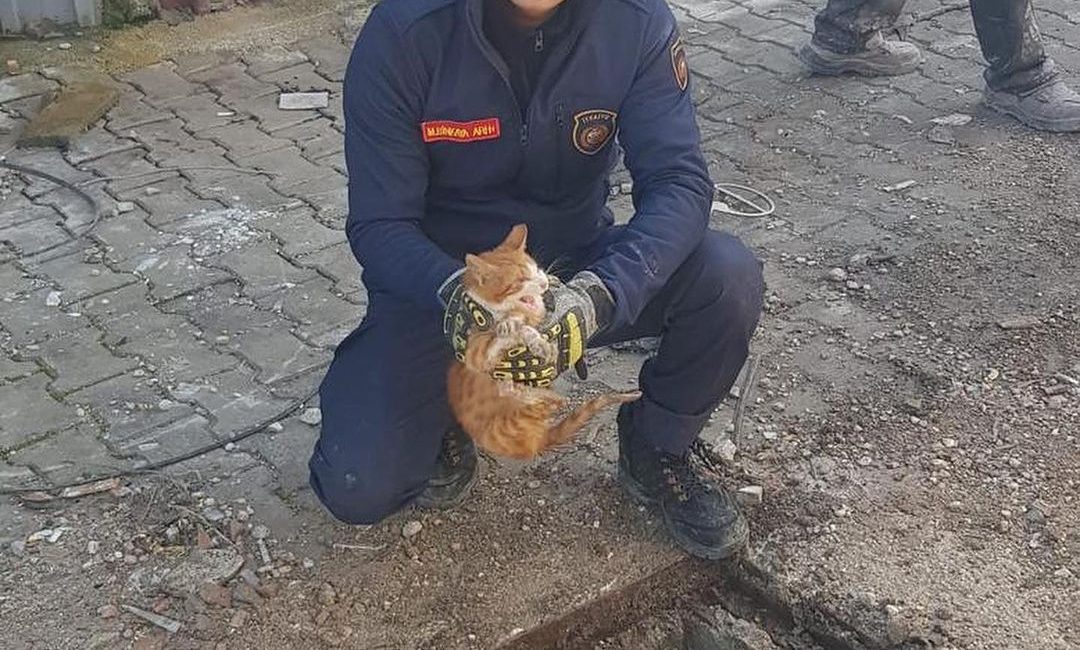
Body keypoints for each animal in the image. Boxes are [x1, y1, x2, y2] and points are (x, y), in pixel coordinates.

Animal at [447, 225, 639, 457]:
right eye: (521, 280)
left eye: (537, 269)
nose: (544, 282)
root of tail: (535, 440)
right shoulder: (474, 353)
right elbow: (498, 338)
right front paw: (510, 326)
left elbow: (528, 325)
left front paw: (536, 338)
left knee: (554, 402)